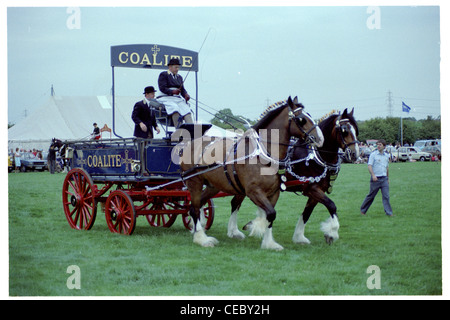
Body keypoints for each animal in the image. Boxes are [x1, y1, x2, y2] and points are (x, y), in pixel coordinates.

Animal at [179, 96, 324, 251]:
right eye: (302, 119)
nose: (320, 139)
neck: (261, 155)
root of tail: (188, 145)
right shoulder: (253, 191)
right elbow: (270, 214)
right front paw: (254, 227)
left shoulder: (274, 192)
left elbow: (270, 216)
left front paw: (269, 243)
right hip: (194, 182)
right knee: (194, 208)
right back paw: (201, 238)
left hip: (213, 186)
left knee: (198, 205)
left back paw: (197, 231)